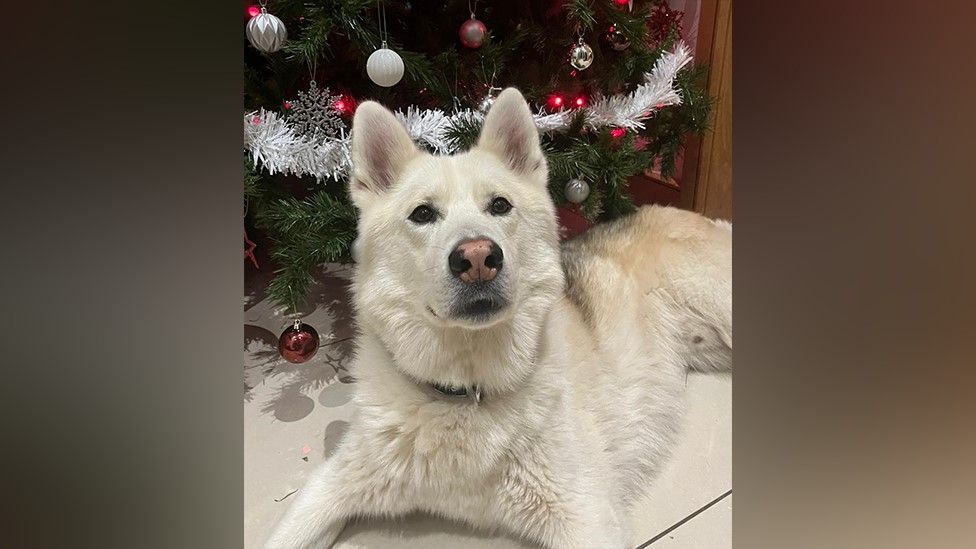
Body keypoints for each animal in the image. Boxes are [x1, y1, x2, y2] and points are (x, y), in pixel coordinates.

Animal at [264, 88, 728, 544]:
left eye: (500, 205)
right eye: (422, 214)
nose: (477, 259)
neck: (464, 393)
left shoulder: (589, 517)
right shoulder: (332, 484)